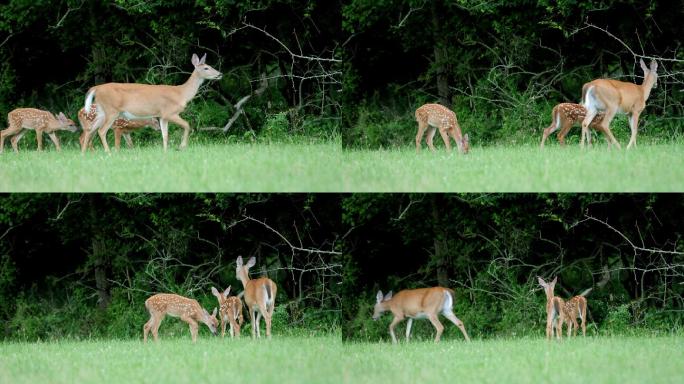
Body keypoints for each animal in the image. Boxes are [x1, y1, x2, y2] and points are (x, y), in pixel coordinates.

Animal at [81, 53, 222, 152]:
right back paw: (108, 152)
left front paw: (165, 152)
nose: (220, 74)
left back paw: (83, 154)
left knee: (90, 130)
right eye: (206, 68)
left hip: (101, 111)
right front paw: (181, 147)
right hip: (111, 110)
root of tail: (96, 88)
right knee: (101, 131)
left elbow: (165, 135)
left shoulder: (162, 116)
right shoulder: (169, 112)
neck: (181, 93)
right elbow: (187, 125)